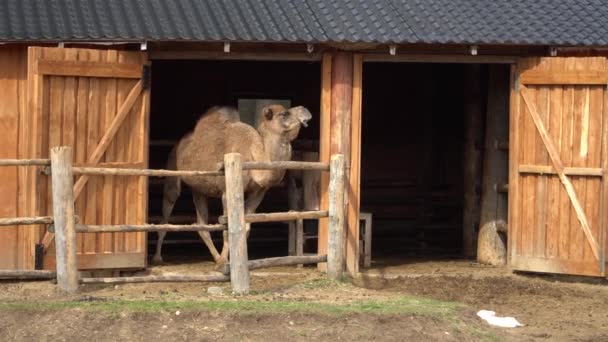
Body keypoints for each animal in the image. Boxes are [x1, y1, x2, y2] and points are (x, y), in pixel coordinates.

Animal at [152, 103, 314, 264]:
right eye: (284, 114)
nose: (305, 110)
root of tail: (179, 144)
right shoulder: (226, 192)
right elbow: (227, 228)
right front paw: (226, 262)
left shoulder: (258, 192)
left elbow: (246, 227)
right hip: (172, 175)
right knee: (167, 210)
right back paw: (157, 257)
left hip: (198, 189)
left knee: (201, 224)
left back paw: (216, 258)